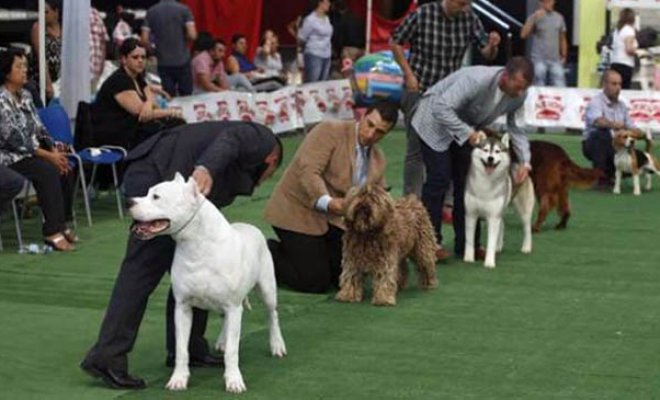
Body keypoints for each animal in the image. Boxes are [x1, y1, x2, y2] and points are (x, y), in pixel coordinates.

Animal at [127, 173, 284, 392]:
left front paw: (234, 380)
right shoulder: (183, 307)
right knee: (226, 320)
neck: (196, 246)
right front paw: (178, 379)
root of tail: (249, 226)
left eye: (156, 197)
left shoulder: (233, 306)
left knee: (272, 315)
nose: (128, 202)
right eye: (147, 192)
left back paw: (277, 345)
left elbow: (233, 351)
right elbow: (182, 348)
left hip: (267, 290)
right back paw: (222, 341)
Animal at [464, 133, 536, 268]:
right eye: (485, 150)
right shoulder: (471, 214)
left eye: (497, 151)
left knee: (527, 228)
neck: (485, 185)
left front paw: (489, 262)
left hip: (524, 210)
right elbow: (469, 240)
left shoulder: (493, 216)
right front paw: (468, 259)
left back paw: (526, 247)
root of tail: (519, 165)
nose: (490, 158)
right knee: (502, 224)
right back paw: (499, 247)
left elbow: (491, 241)